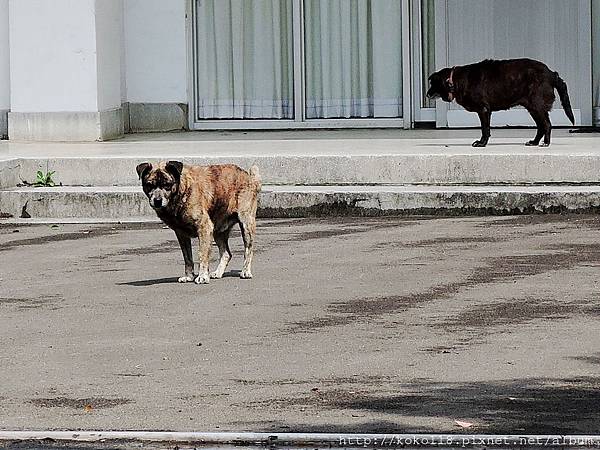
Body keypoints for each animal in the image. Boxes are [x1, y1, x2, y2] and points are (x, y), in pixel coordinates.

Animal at [426, 57, 576, 147]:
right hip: (533, 108)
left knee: (547, 125)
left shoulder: (483, 110)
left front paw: (482, 143)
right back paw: (534, 142)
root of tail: (552, 74)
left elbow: (485, 129)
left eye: (433, 84)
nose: (427, 94)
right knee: (541, 126)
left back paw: (546, 143)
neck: (455, 80)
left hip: (537, 106)